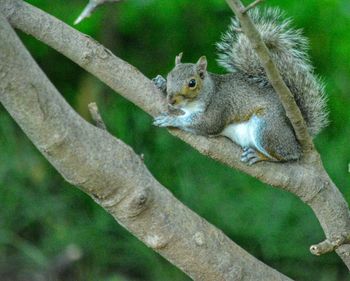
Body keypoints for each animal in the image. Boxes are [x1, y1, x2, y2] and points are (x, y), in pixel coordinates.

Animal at [152, 8, 328, 164]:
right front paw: (161, 83)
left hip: (267, 127)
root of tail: (296, 139)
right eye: (170, 75)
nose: (171, 100)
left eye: (192, 83)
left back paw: (259, 155)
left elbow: (206, 123)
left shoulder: (220, 105)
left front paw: (171, 119)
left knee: (285, 155)